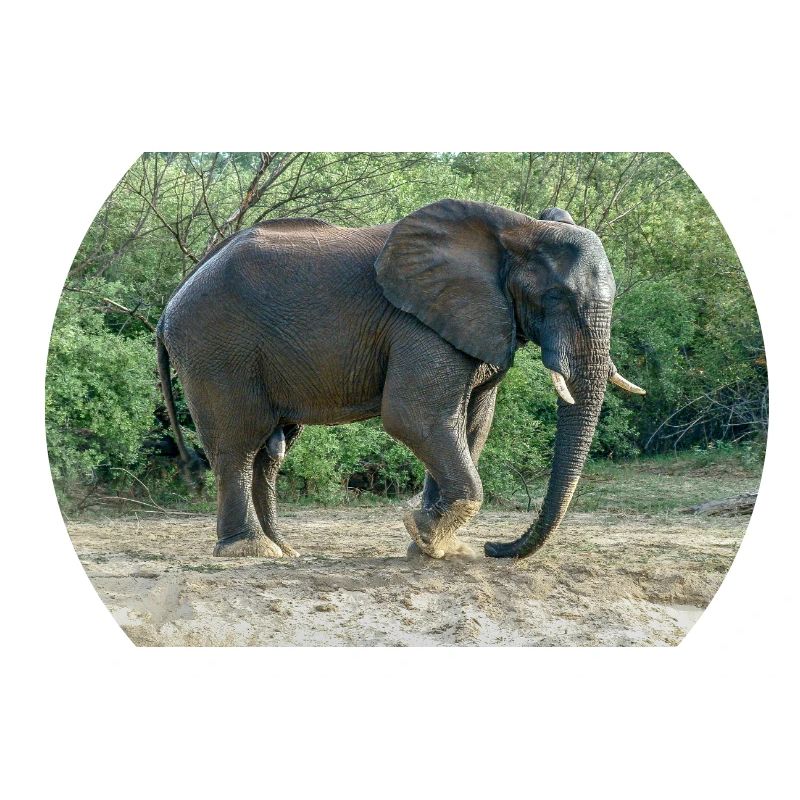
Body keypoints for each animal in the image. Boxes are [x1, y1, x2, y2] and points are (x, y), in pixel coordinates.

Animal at [156, 199, 644, 560]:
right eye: (557, 298)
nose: (495, 547)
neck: (517, 229)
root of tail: (169, 305)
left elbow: (471, 426)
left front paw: (436, 546)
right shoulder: (419, 324)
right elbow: (415, 418)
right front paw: (425, 534)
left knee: (270, 451)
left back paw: (284, 549)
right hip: (216, 346)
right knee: (239, 441)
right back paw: (251, 551)